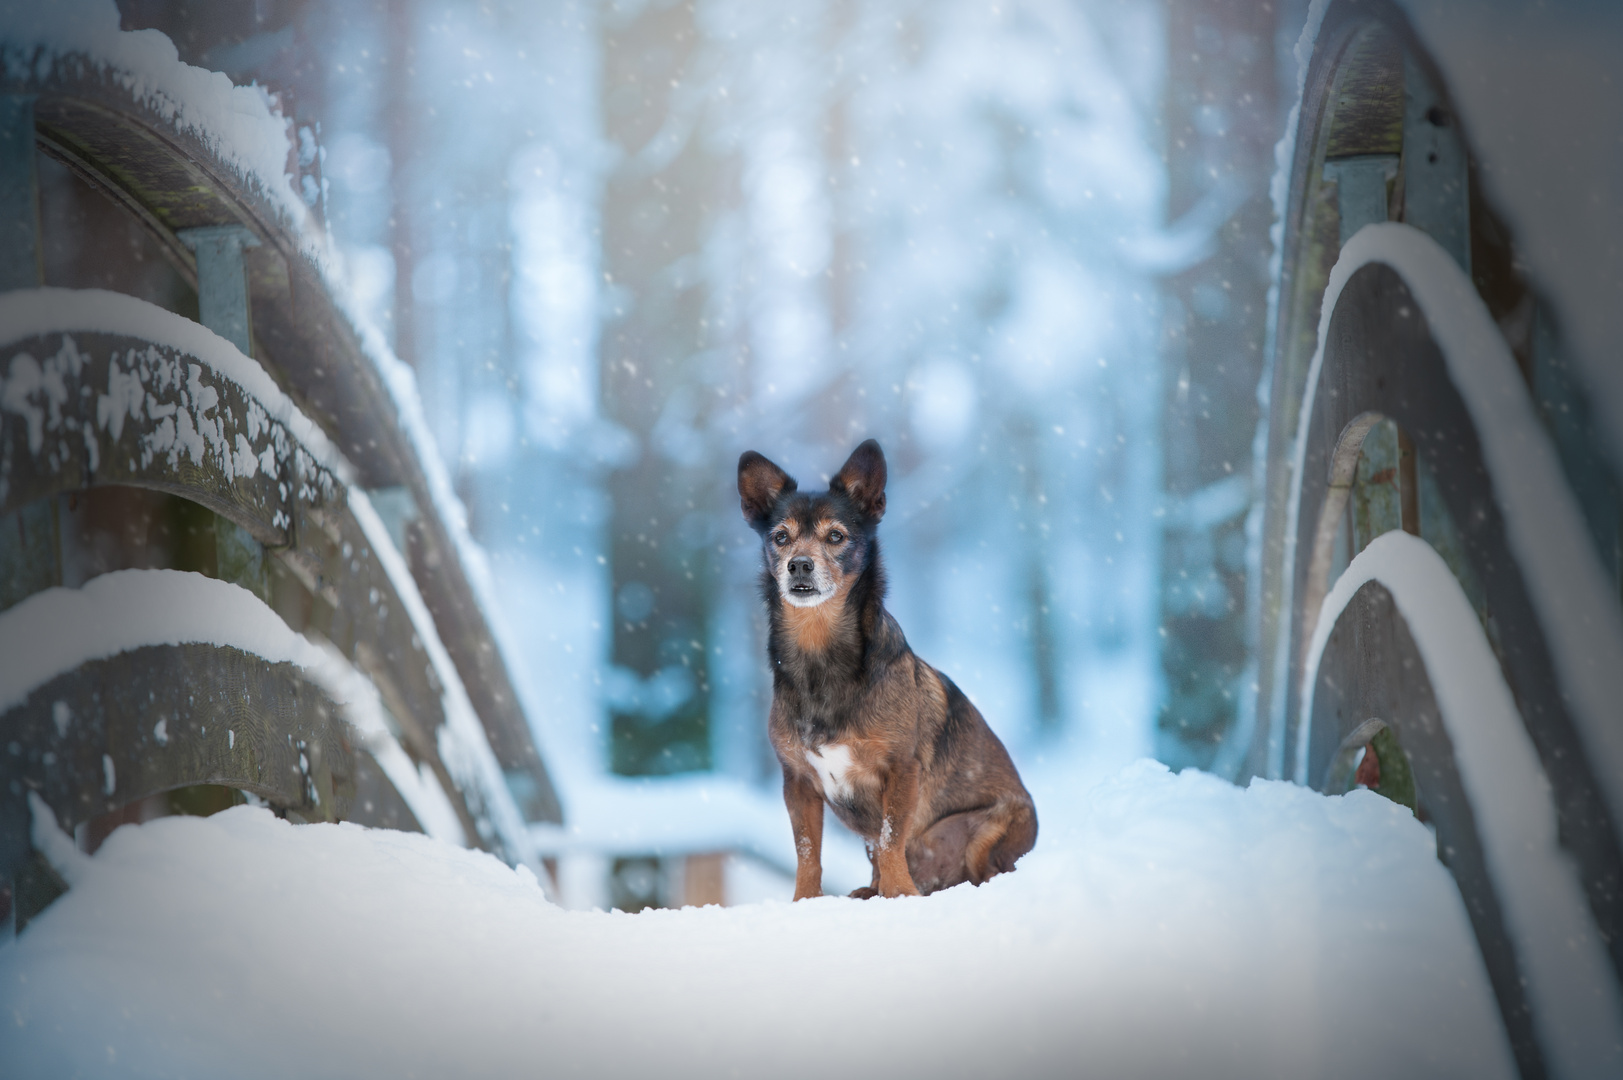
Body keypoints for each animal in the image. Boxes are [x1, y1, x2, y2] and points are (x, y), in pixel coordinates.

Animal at [740, 438, 1038, 902]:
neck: (820, 655)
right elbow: (807, 851)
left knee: (986, 871)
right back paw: (871, 890)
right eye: (780, 537)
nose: (799, 565)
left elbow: (890, 837)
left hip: (988, 830)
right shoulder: (798, 782)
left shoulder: (900, 770)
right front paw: (804, 901)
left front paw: (899, 894)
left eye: (836, 536)